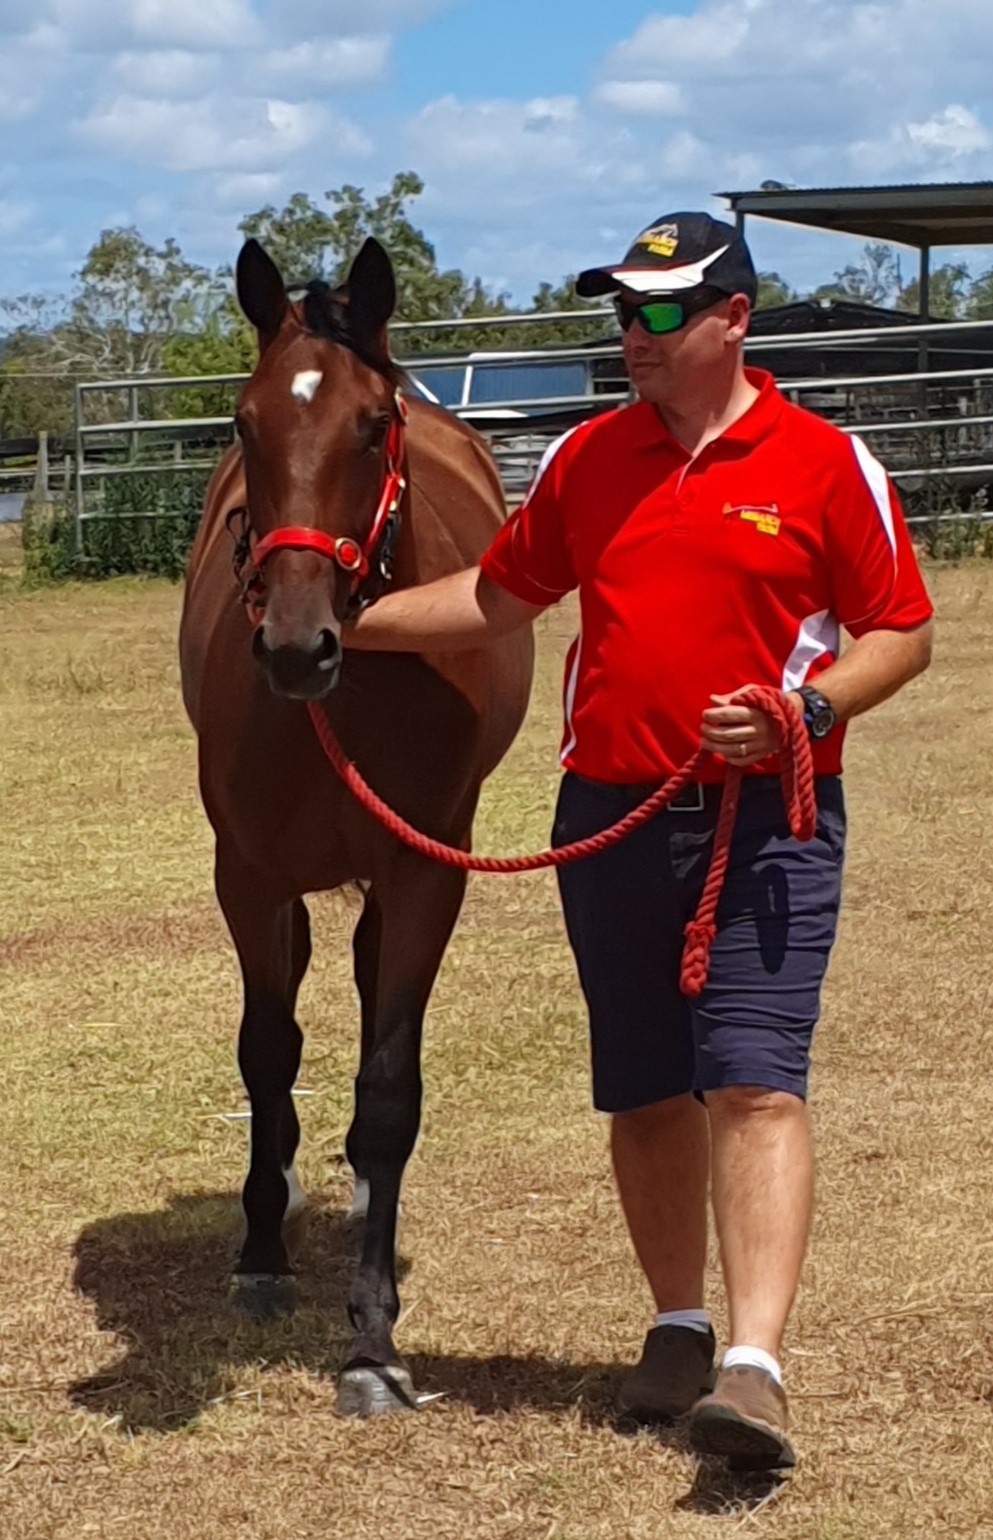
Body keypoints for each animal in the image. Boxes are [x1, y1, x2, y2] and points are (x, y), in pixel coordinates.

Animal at [178, 235, 534, 1415]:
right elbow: (264, 1050)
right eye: (244, 421)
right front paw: (259, 1258)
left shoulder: (428, 873)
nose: (297, 645)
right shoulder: (248, 874)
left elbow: (387, 1086)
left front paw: (373, 1340)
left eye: (373, 424)